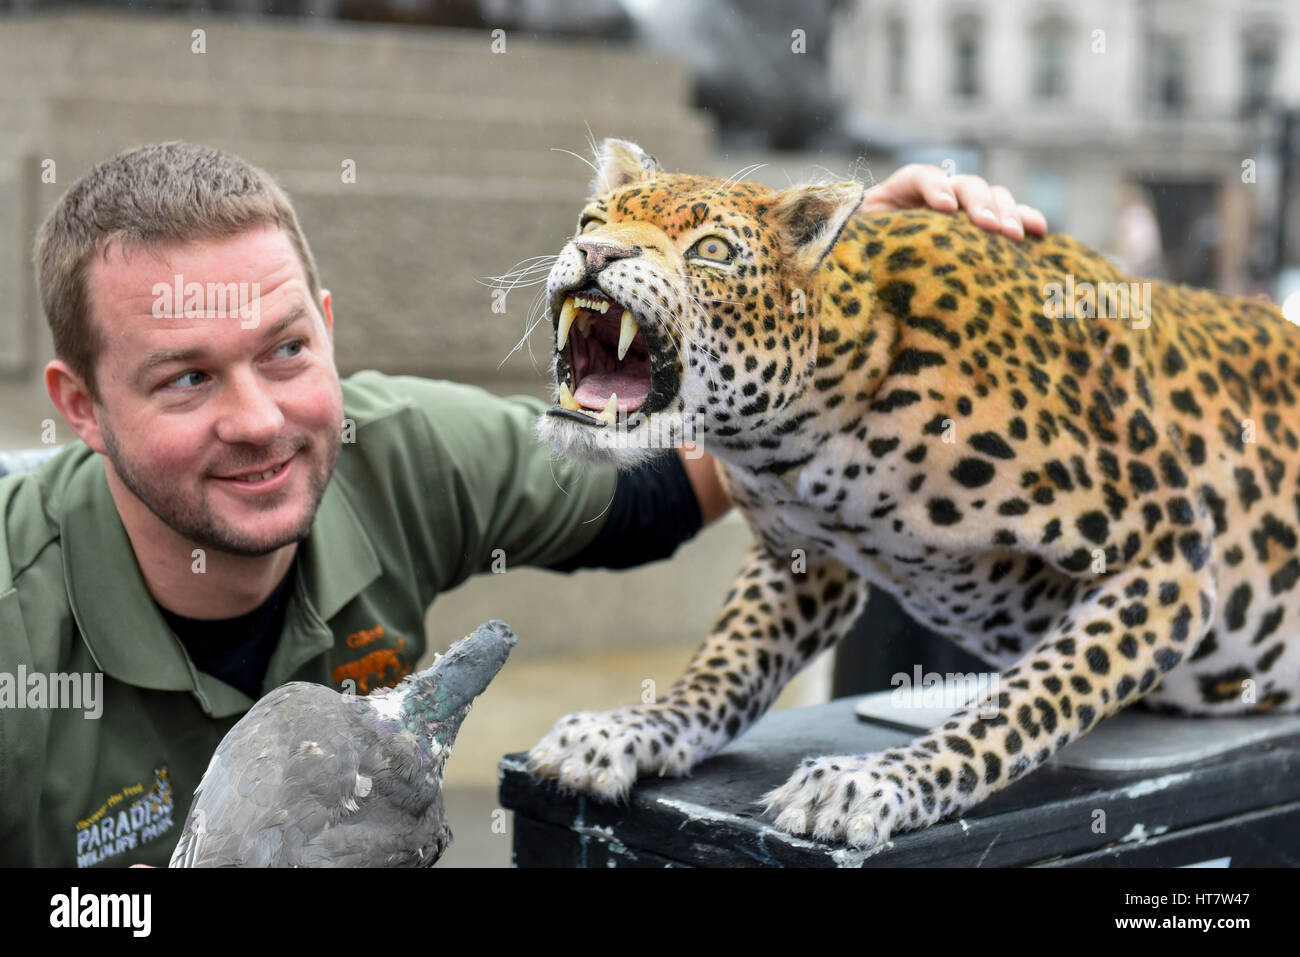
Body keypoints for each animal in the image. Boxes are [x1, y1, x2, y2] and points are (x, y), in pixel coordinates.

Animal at [525, 138, 1300, 847]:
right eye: (592, 219)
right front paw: (630, 729)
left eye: (711, 249)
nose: (595, 253)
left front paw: (878, 781)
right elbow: (726, 665)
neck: (805, 432)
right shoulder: (799, 559)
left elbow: (1026, 703)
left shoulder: (1168, 553)